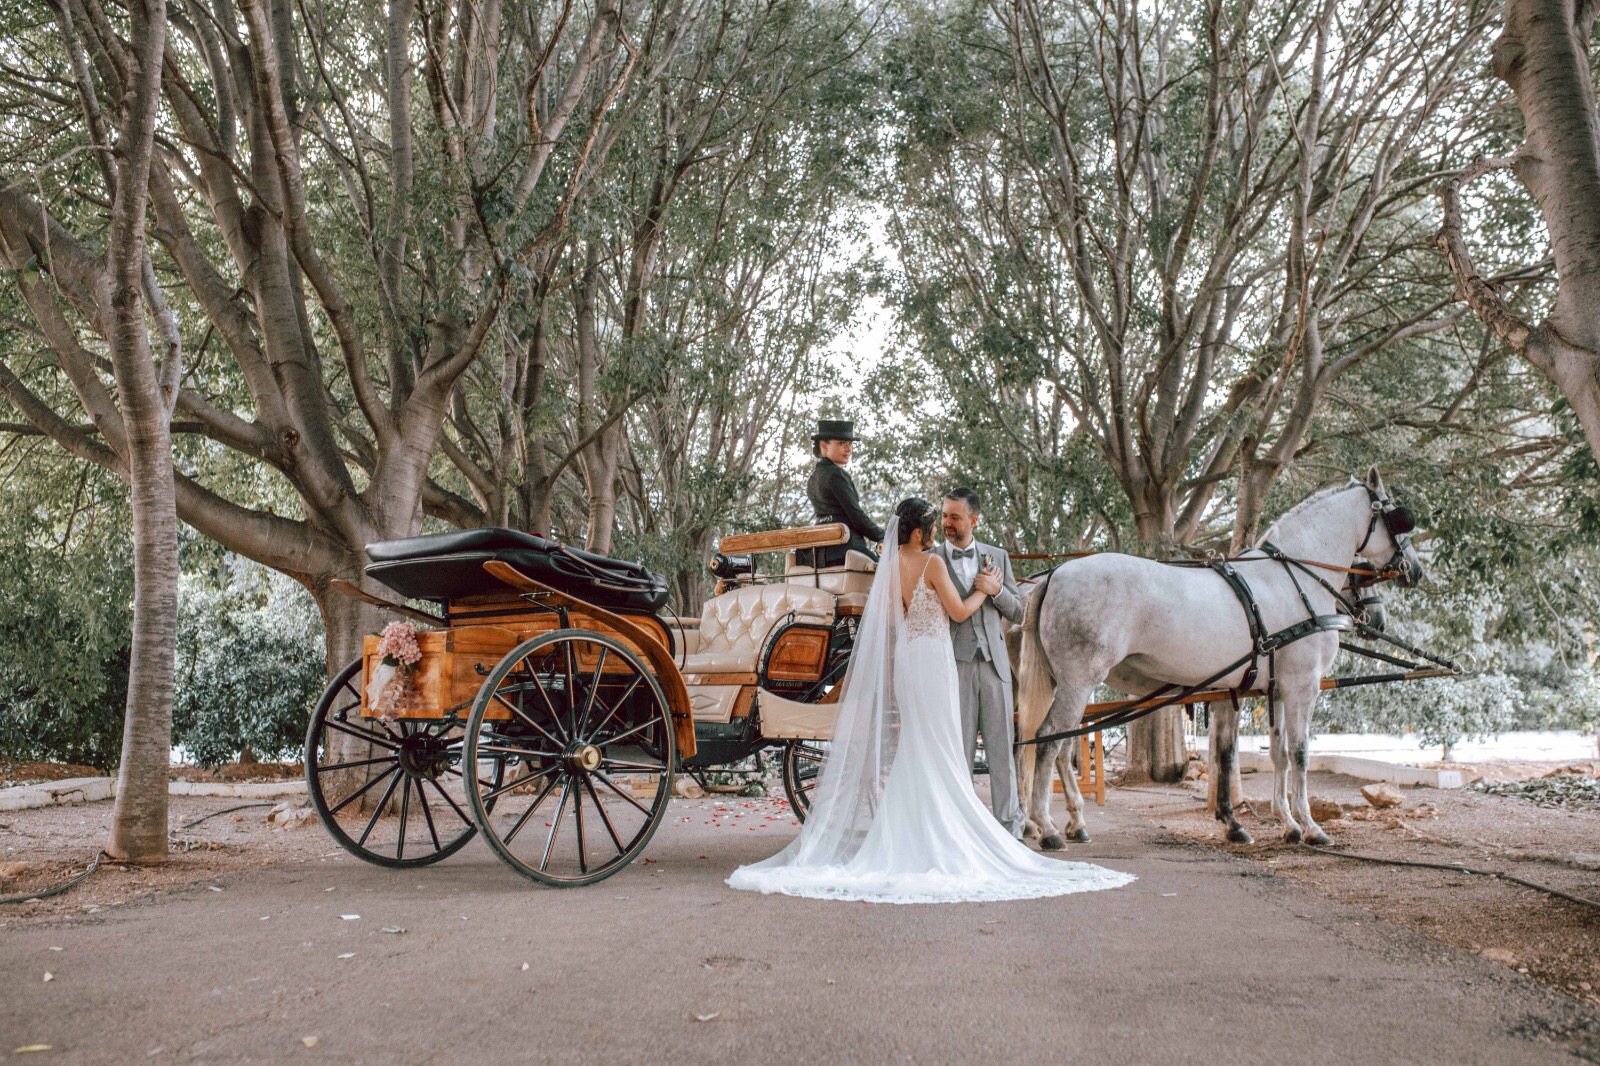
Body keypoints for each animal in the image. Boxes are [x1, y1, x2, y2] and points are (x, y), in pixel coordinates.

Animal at [1015, 468, 1424, 850]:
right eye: (1399, 518)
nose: (1415, 571)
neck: (1293, 580)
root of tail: (1053, 574)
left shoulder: (1264, 689)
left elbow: (1259, 754)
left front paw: (1270, 823)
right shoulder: (1302, 685)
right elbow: (1300, 753)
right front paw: (1309, 826)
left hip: (1066, 682)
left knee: (1052, 741)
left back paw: (1054, 821)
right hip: (1079, 680)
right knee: (1049, 739)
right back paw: (1046, 826)